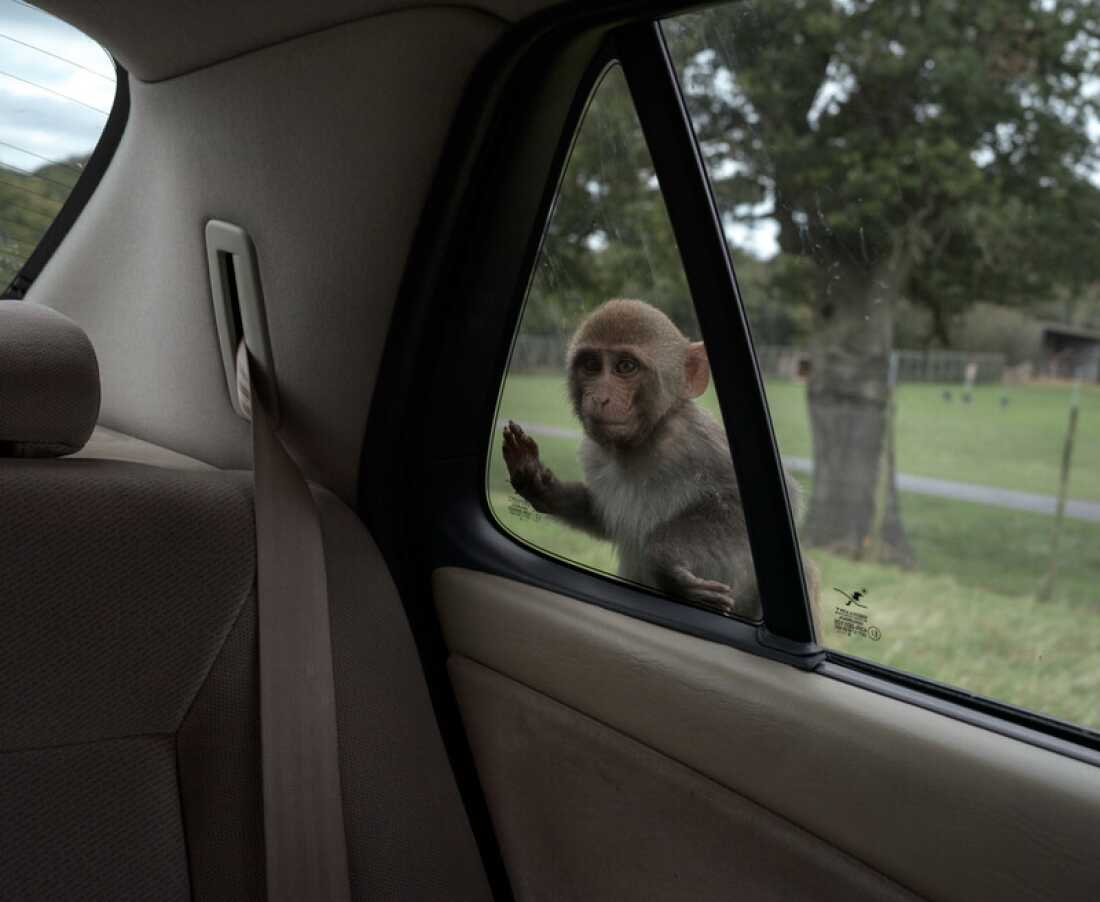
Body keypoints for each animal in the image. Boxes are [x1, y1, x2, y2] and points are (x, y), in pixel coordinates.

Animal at [503, 298, 815, 622]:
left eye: (626, 366)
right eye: (591, 365)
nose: (599, 398)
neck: (640, 444)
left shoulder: (694, 440)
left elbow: (760, 503)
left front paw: (665, 564)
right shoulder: (593, 452)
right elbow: (602, 517)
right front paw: (538, 484)